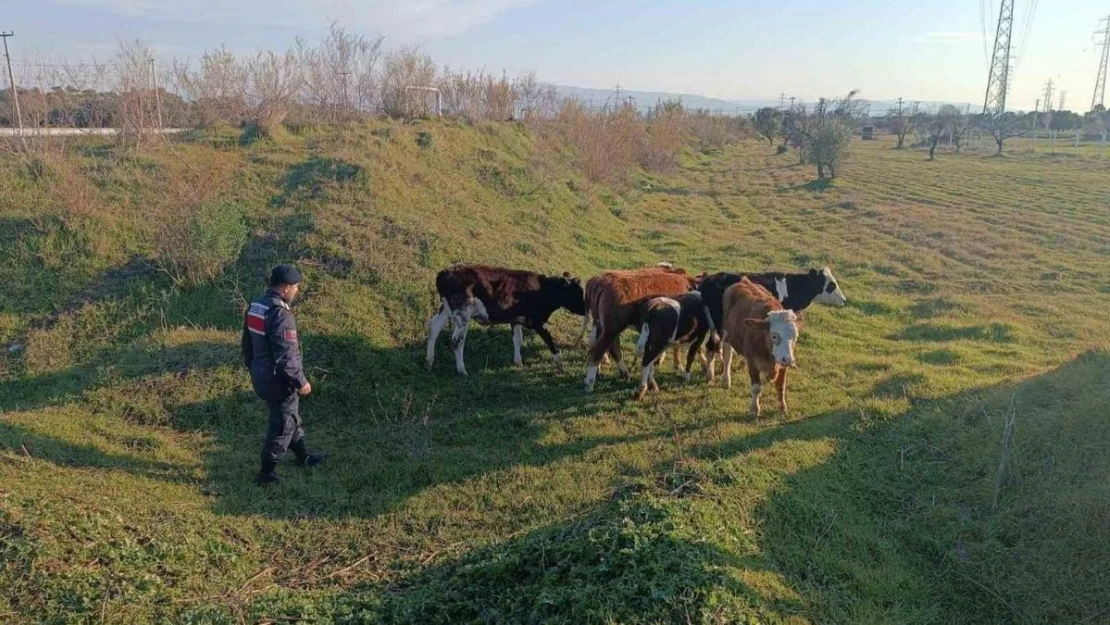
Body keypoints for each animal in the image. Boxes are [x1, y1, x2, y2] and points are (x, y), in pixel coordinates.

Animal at [424, 264, 586, 377]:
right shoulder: (537, 321)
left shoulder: (516, 319)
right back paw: (462, 370)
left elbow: (517, 340)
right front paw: (560, 367)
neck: (544, 290)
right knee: (457, 340)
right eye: (576, 293)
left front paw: (518, 363)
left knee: (433, 327)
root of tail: (444, 272)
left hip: (446, 309)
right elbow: (551, 342)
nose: (585, 309)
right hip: (462, 313)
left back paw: (429, 362)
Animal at [714, 277, 803, 415]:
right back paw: (725, 380)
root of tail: (744, 281)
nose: (788, 360)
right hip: (727, 335)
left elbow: (781, 386)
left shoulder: (782, 365)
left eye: (795, 337)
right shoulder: (753, 363)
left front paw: (782, 407)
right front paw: (754, 409)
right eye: (774, 336)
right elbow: (756, 387)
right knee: (728, 357)